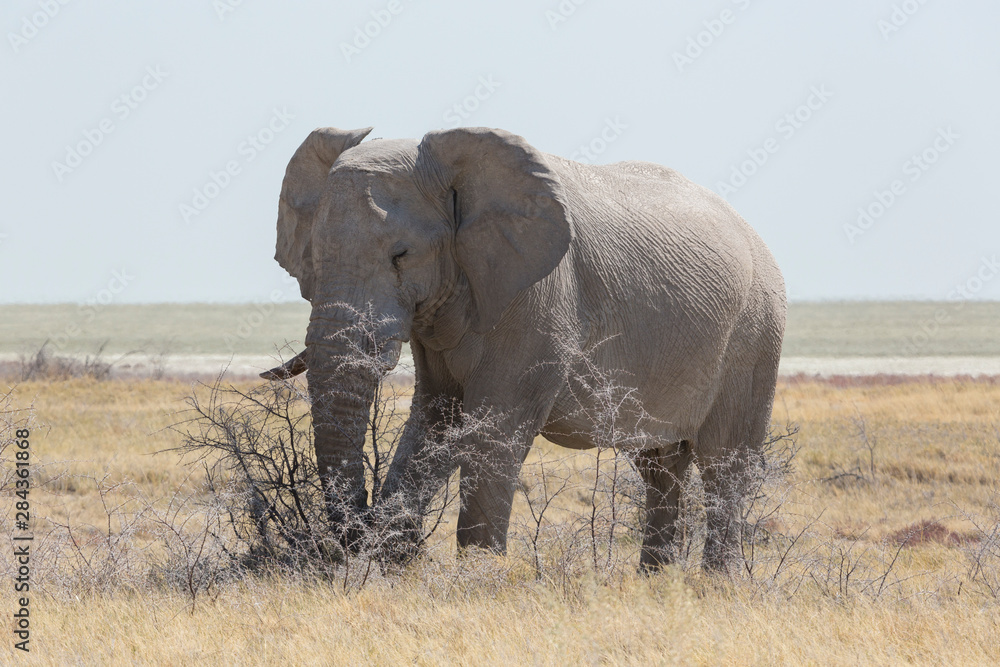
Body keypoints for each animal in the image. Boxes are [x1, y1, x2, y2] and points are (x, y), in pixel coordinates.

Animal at [262, 125, 786, 571]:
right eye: (313, 257)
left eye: (401, 255)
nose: (358, 536)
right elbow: (438, 418)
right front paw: (396, 560)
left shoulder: (538, 297)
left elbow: (495, 428)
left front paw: (478, 577)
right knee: (660, 467)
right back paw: (655, 582)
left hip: (757, 333)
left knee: (724, 465)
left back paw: (717, 585)